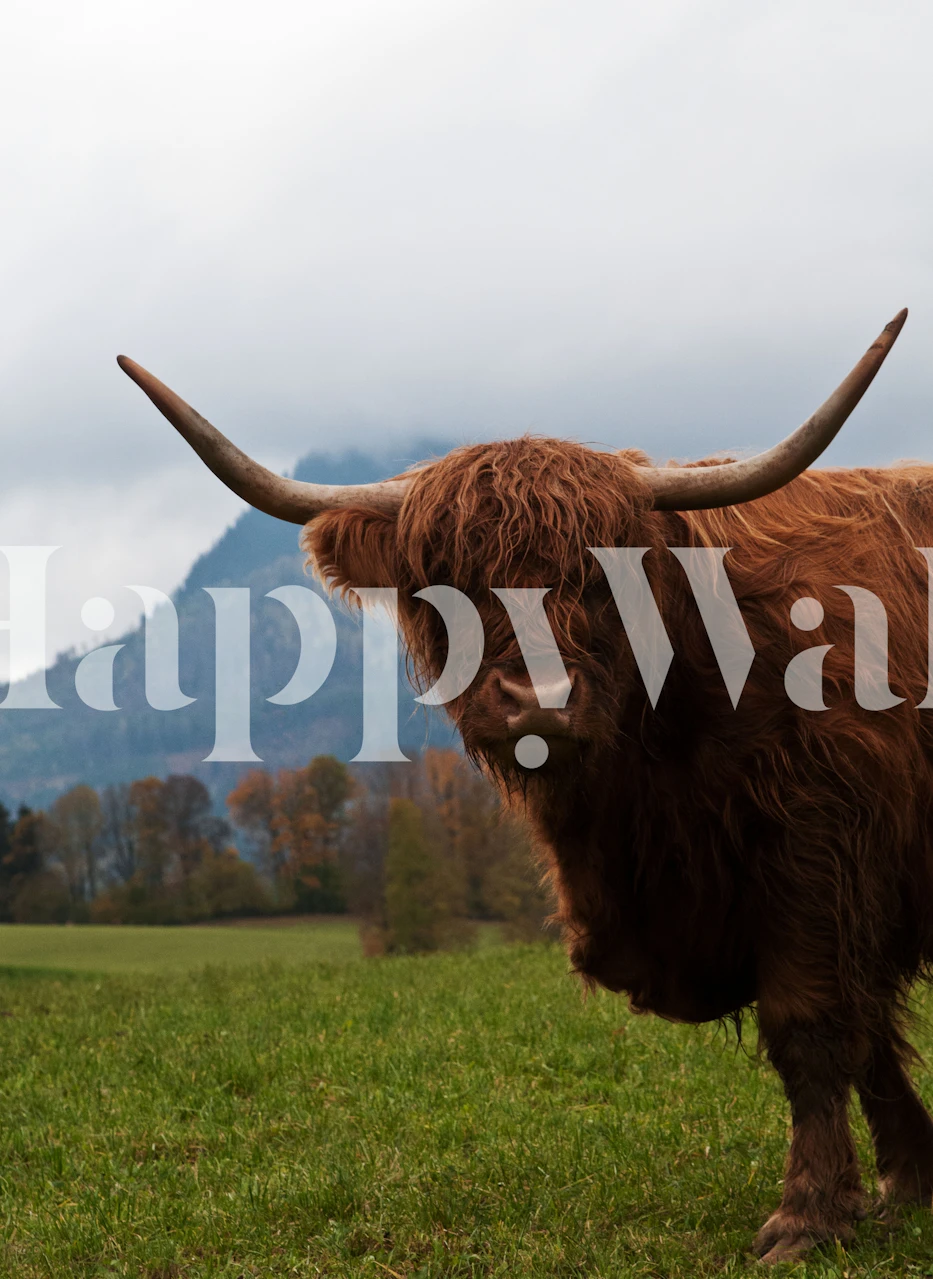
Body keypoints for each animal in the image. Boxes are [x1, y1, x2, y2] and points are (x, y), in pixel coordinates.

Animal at [117, 309, 933, 1263]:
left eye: (602, 576)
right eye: (445, 584)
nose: (538, 697)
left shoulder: (819, 853)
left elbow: (811, 1025)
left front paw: (808, 1213)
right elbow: (866, 1035)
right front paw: (907, 1180)